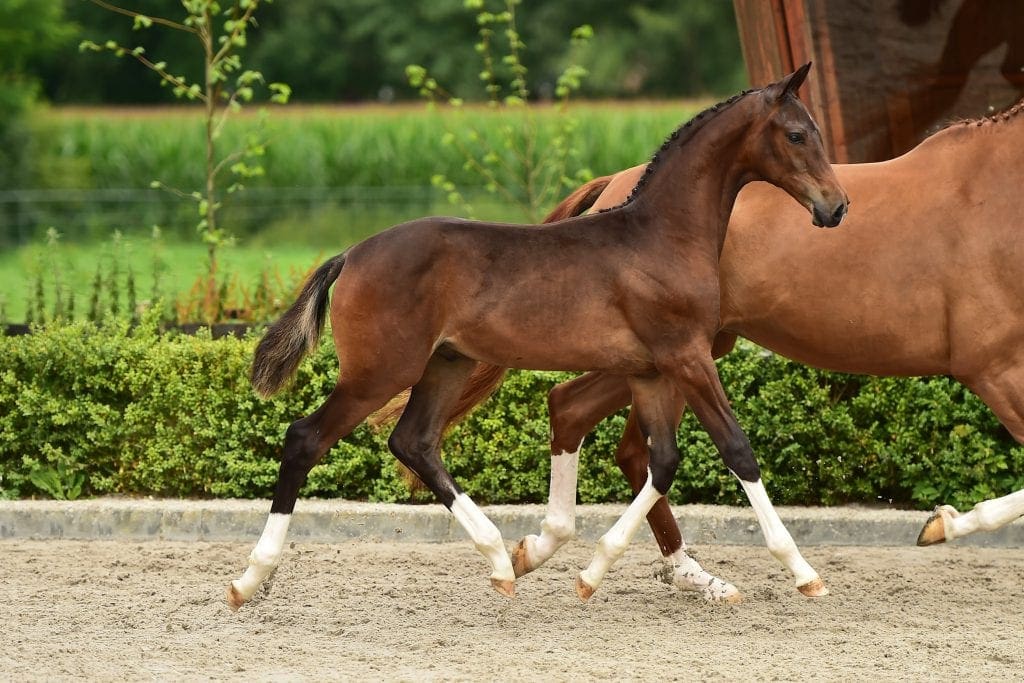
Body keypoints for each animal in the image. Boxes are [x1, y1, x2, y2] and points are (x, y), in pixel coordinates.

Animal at [226, 64, 849, 611]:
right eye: (797, 134)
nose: (836, 206)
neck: (660, 238)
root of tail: (352, 253)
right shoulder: (689, 358)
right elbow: (738, 450)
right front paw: (804, 572)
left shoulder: (651, 371)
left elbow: (664, 461)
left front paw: (591, 573)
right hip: (379, 373)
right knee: (305, 439)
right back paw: (251, 578)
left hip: (445, 364)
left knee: (414, 442)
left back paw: (501, 560)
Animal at [412, 90, 1024, 602]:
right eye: (797, 136)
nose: (835, 210)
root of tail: (615, 187)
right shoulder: (991, 367)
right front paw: (945, 522)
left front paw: (942, 521)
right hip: (678, 355)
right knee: (614, 435)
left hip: (674, 356)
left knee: (592, 422)